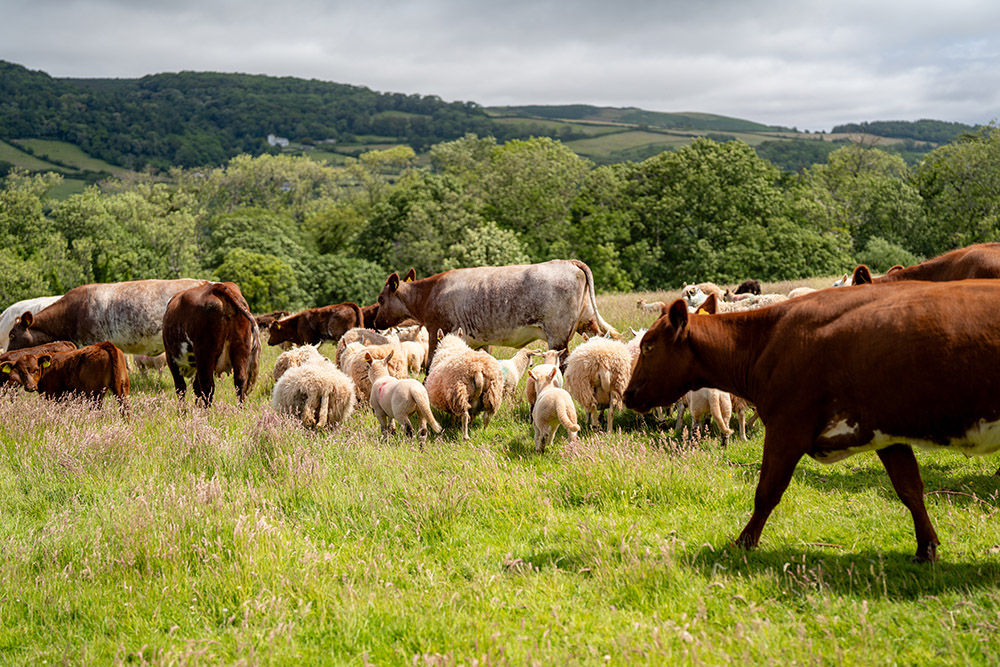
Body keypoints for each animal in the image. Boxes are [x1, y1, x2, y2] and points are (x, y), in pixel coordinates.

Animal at [2, 341, 130, 415]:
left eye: (36, 369)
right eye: (20, 371)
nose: (30, 387)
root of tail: (103, 345)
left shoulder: (53, 396)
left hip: (94, 394)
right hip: (122, 388)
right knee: (125, 409)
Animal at [374, 260, 619, 364]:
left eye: (380, 299)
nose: (375, 323)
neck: (430, 292)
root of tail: (568, 261)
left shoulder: (437, 331)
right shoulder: (479, 340)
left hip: (558, 335)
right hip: (587, 322)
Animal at [624, 285, 1000, 563]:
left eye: (649, 346)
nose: (628, 394)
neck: (767, 342)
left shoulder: (786, 429)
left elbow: (767, 492)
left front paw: (744, 542)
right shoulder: (886, 433)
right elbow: (910, 489)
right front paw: (926, 548)